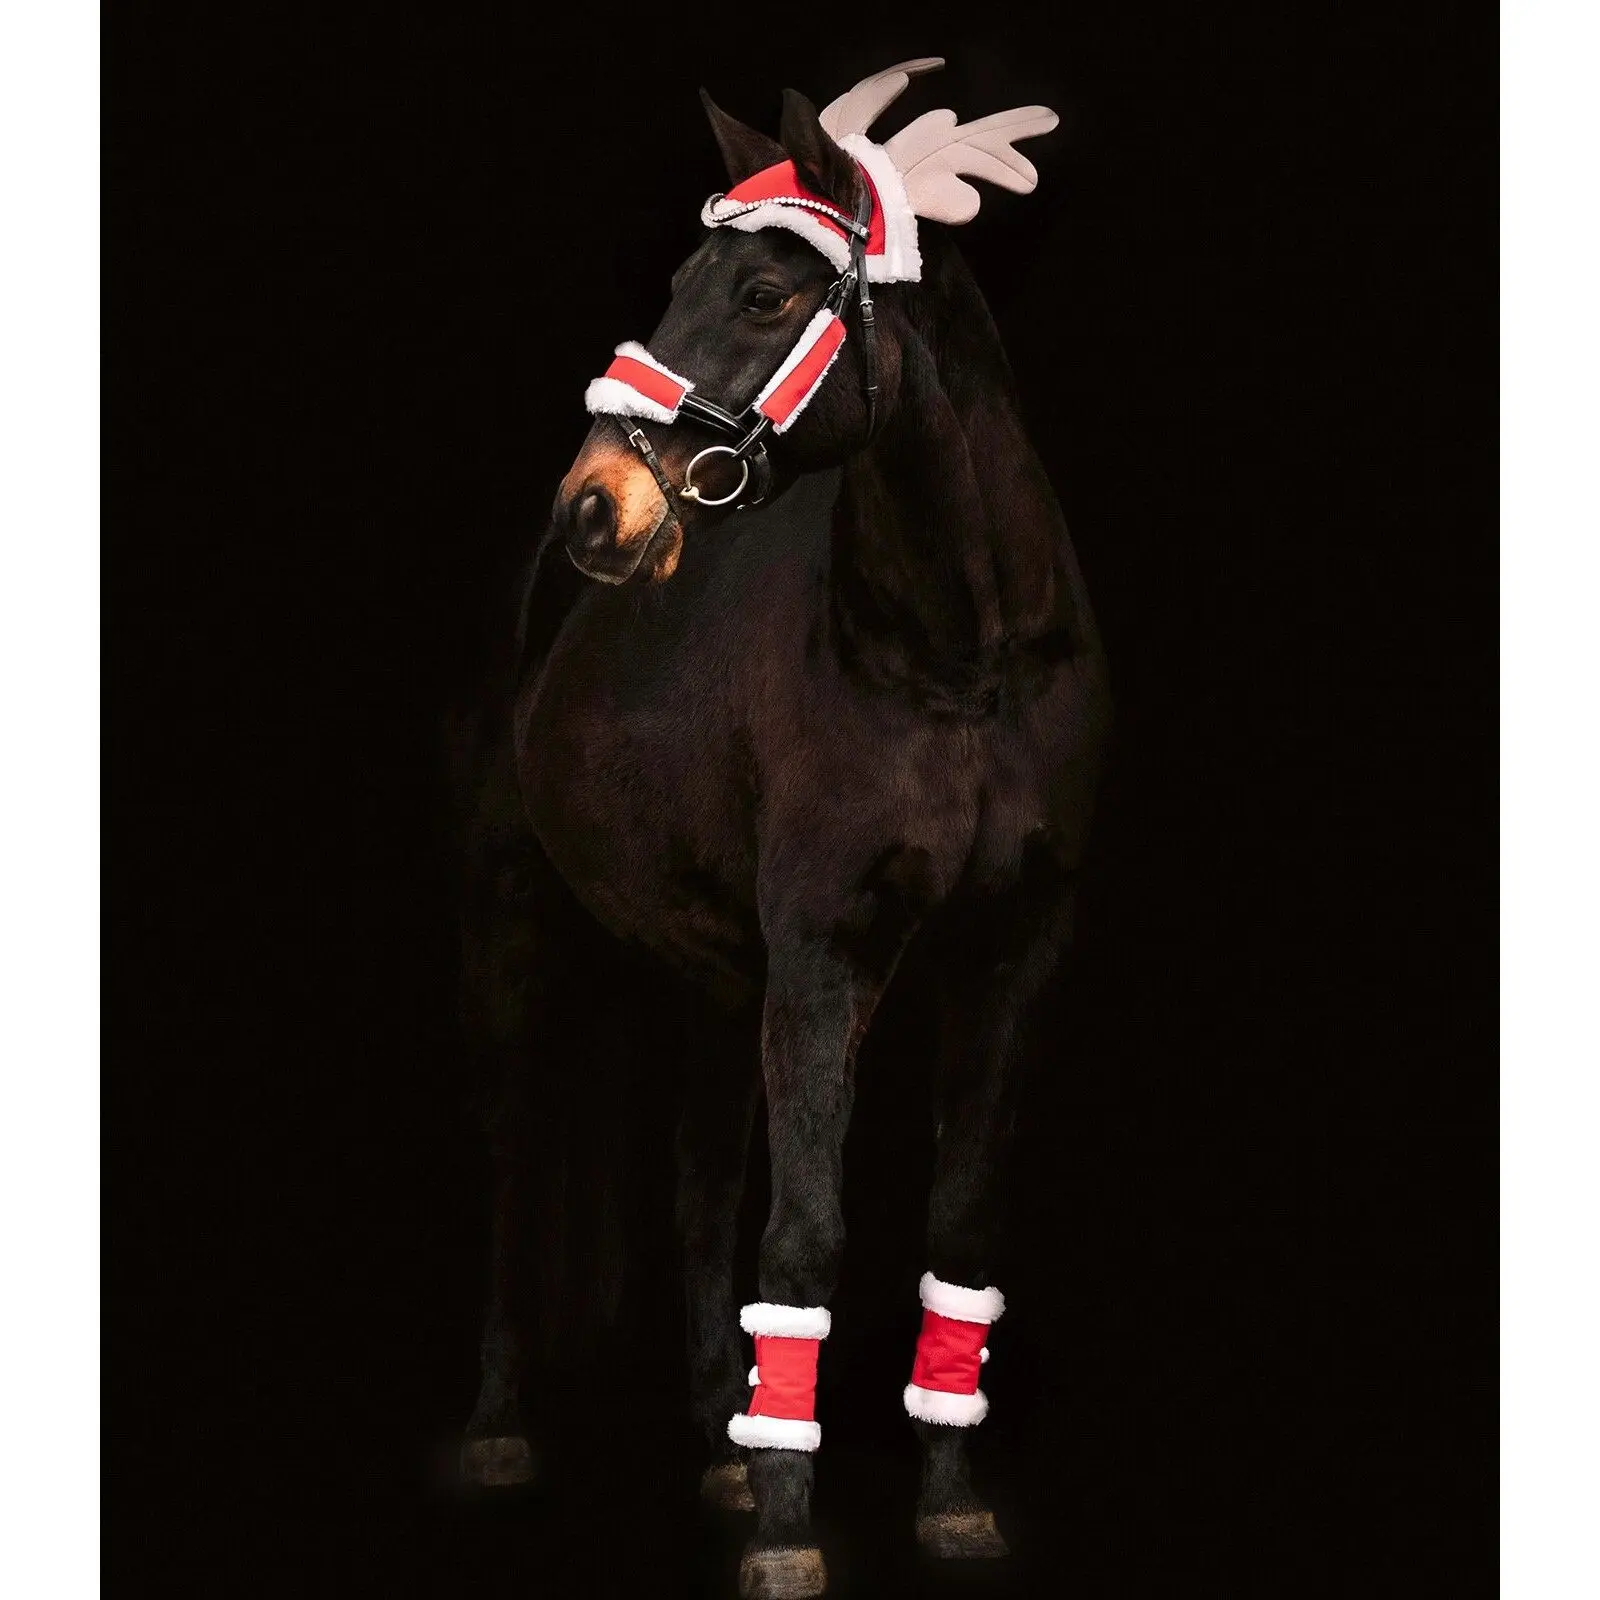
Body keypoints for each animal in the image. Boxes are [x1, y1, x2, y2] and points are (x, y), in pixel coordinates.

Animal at [463, 60, 1112, 1598]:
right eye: (679, 279)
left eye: (764, 294)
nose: (595, 507)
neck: (960, 664)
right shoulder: (825, 959)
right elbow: (806, 1235)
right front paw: (785, 1533)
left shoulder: (1013, 957)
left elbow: (957, 1225)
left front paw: (948, 1500)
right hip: (526, 923)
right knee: (519, 1159)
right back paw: (508, 1424)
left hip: (716, 975)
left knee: (701, 1180)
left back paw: (717, 1431)